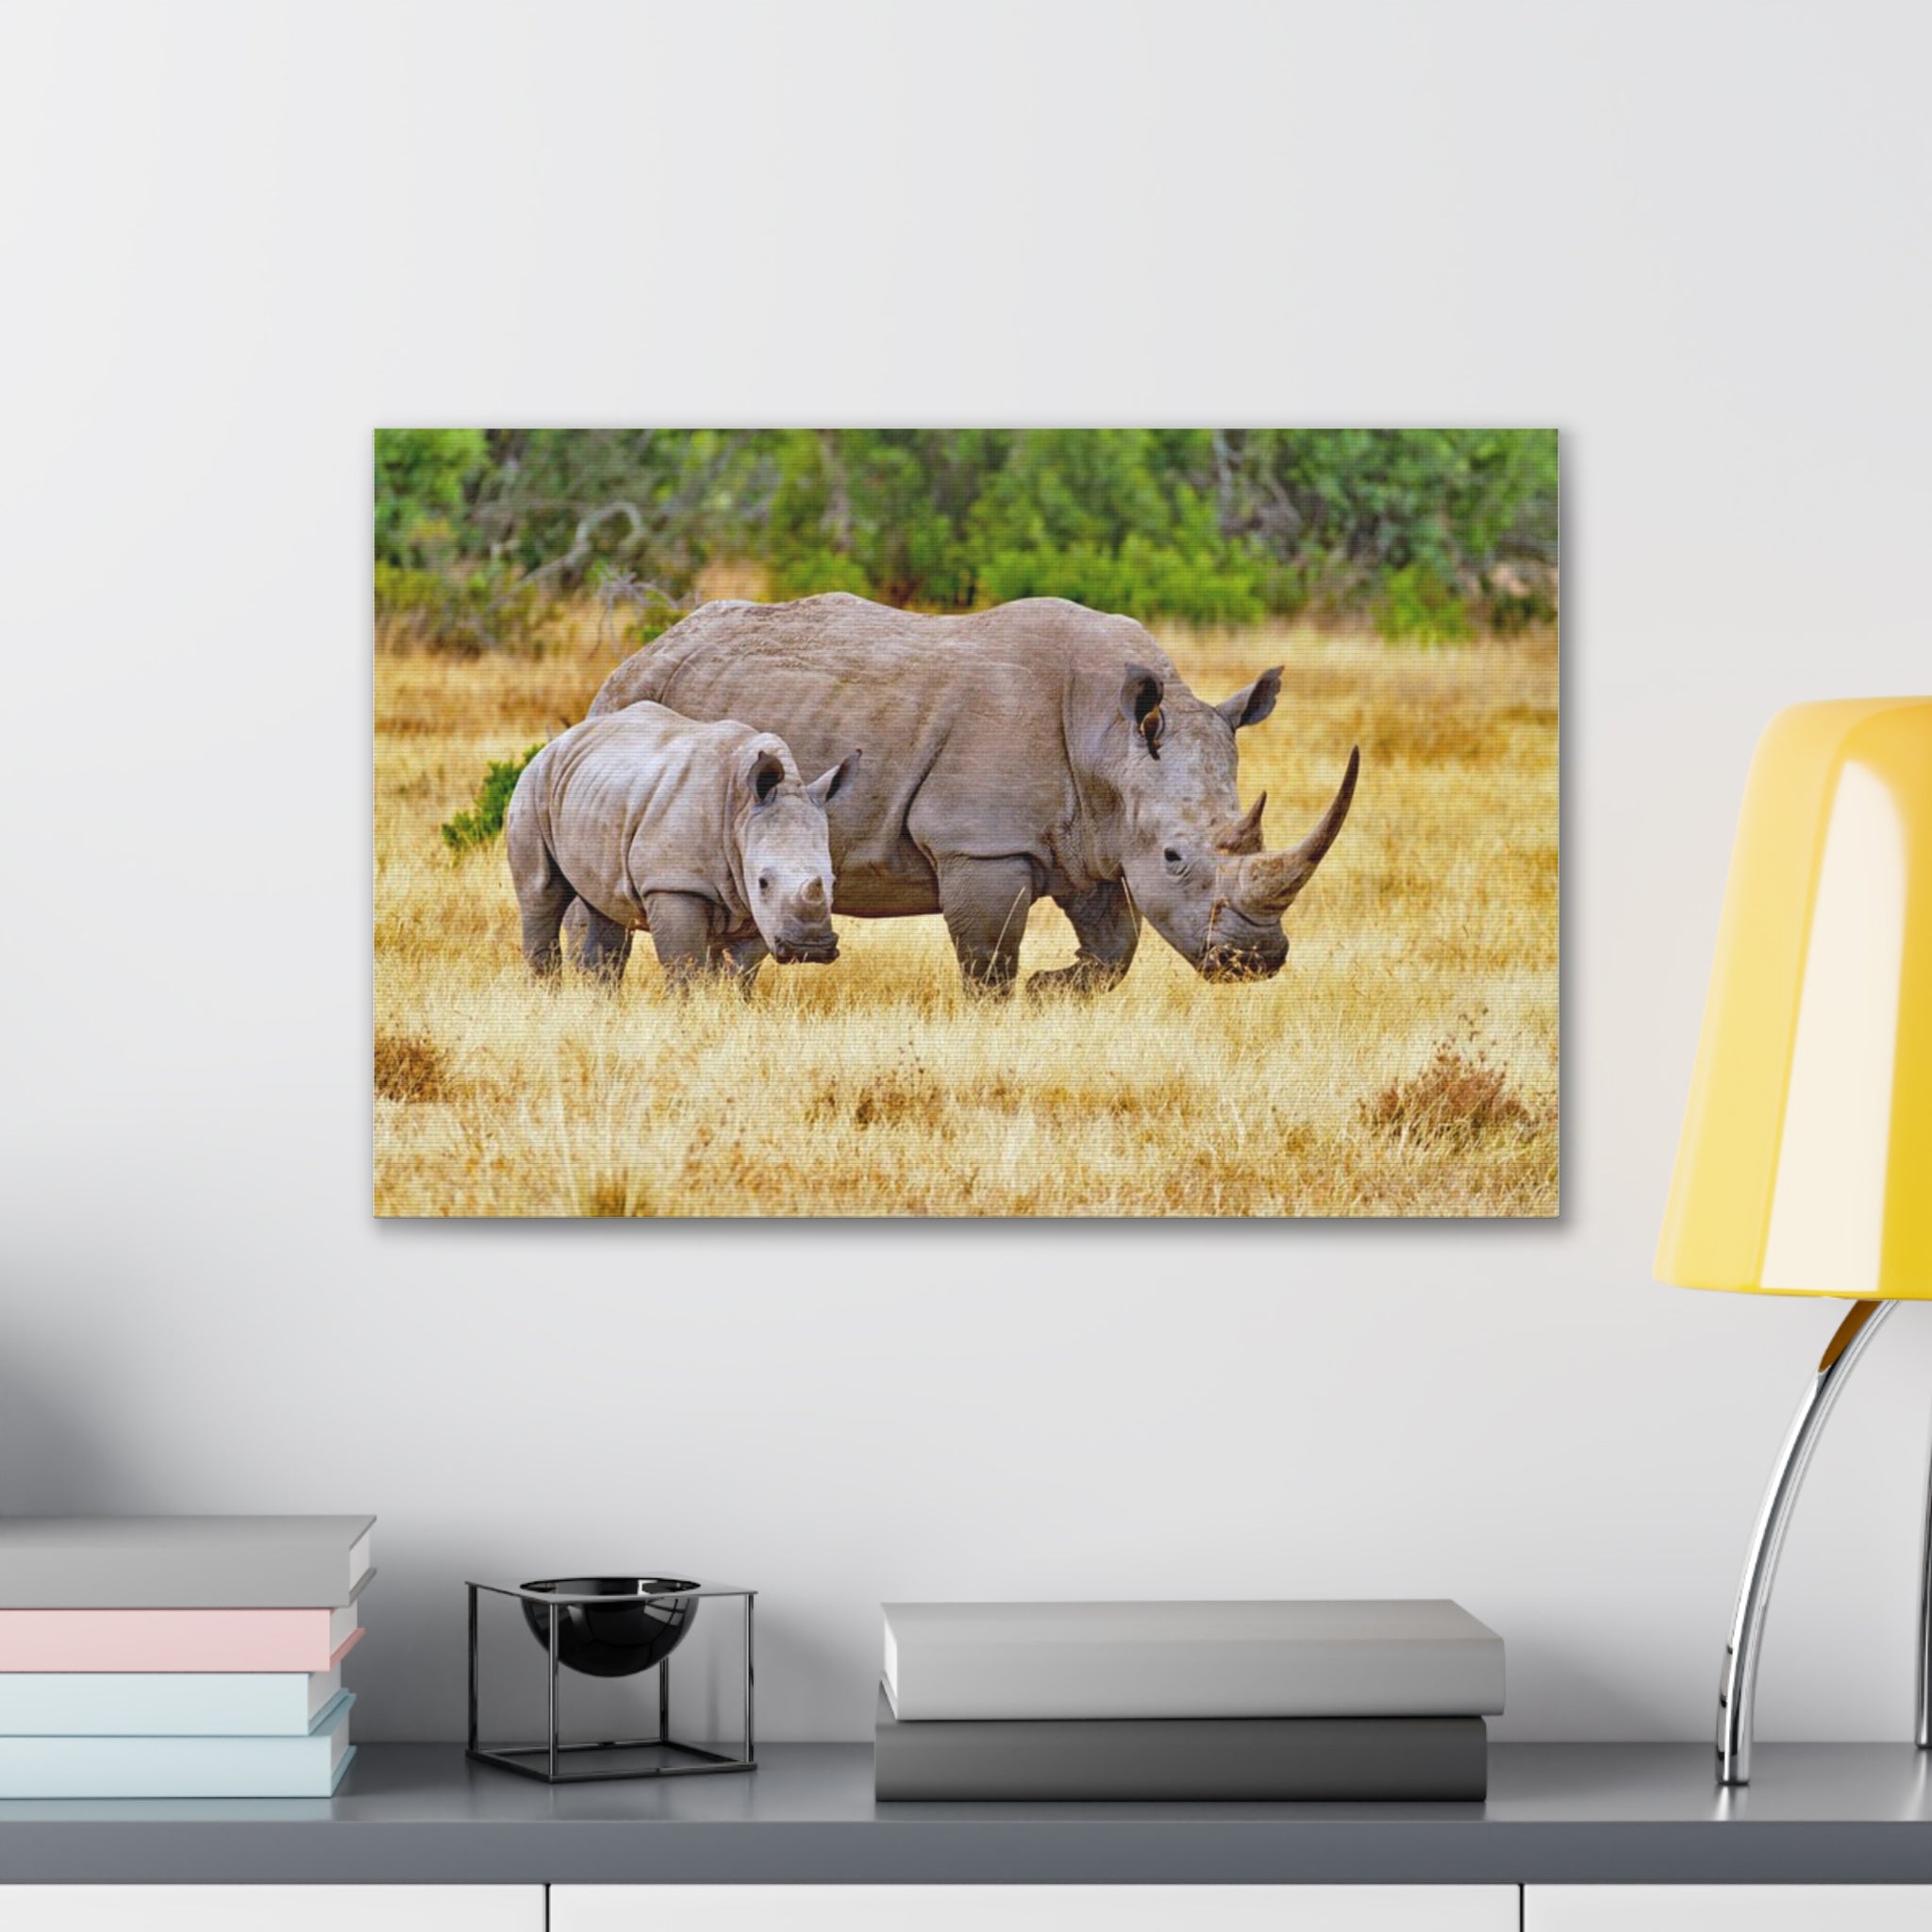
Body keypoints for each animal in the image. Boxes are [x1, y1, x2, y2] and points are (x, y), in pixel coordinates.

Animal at [505, 700, 857, 986]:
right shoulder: (674, 882)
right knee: (541, 894)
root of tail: (560, 741)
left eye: (832, 882)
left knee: (606, 908)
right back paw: (545, 996)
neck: (742, 811)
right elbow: (684, 966)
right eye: (763, 882)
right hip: (534, 784)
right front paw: (686, 1011)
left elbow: (740, 971)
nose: (809, 949)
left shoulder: (754, 902)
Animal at [577, 593, 1358, 995]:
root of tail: (637, 653)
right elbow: (988, 956)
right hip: (628, 711)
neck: (1111, 742)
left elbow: (1117, 948)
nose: (1254, 962)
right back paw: (595, 996)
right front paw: (1008, 1004)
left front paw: (1051, 987)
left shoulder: (1090, 840)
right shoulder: (982, 844)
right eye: (1174, 858)